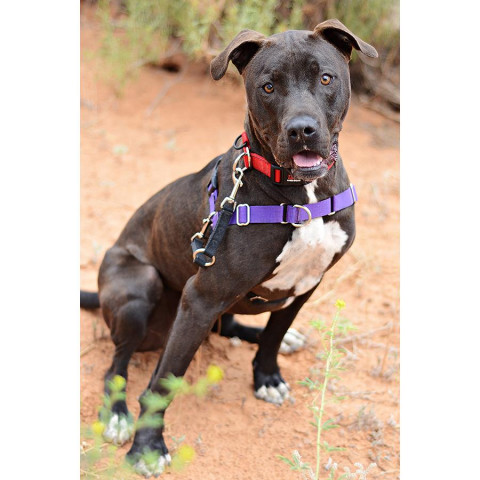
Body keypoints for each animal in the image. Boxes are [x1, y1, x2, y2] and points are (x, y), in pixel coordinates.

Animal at [80, 19, 376, 476]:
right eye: (268, 87)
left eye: (326, 78)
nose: (302, 130)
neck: (299, 193)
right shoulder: (201, 297)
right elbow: (163, 381)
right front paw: (147, 446)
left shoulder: (306, 284)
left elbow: (274, 334)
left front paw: (267, 376)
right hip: (139, 286)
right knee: (118, 363)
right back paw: (116, 415)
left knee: (234, 325)